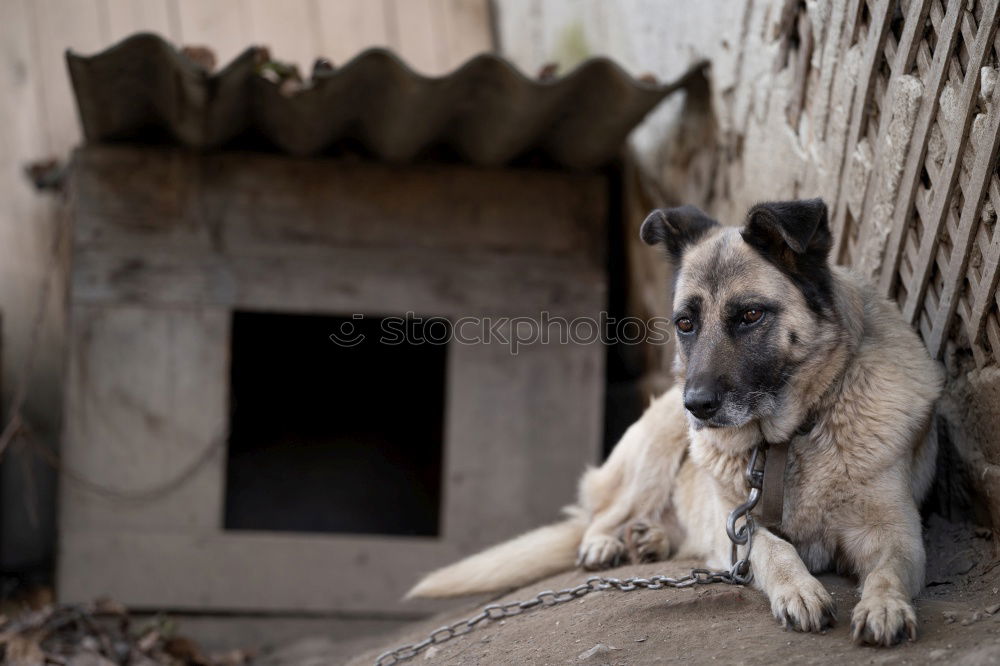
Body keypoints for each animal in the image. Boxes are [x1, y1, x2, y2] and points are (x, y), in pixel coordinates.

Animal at [410, 197, 940, 644]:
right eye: (686, 324)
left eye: (750, 315)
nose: (697, 406)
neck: (788, 439)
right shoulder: (739, 529)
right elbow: (773, 548)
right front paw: (799, 588)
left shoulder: (897, 533)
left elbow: (889, 570)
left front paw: (884, 606)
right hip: (654, 448)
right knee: (602, 515)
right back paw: (607, 543)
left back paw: (651, 540)